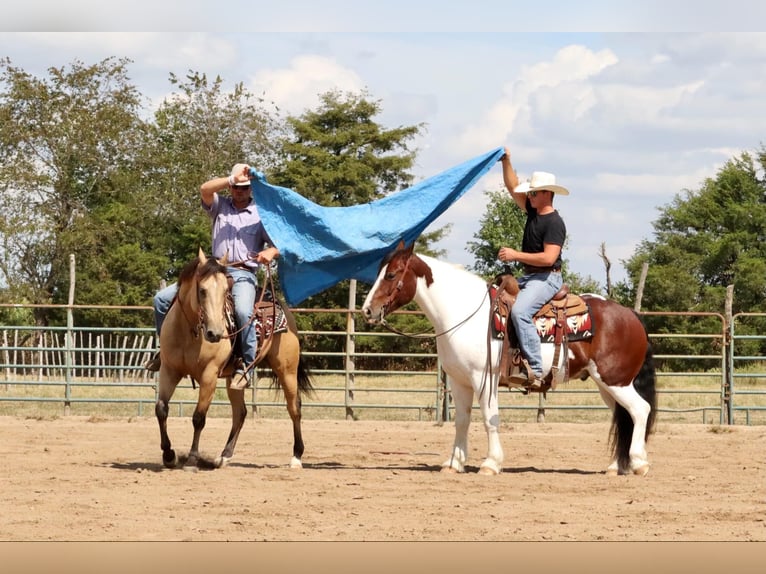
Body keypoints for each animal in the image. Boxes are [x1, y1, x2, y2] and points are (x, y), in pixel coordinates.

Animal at [154, 251, 314, 472]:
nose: (215, 333)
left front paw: (192, 460)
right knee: (240, 412)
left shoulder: (209, 375)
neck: (190, 332)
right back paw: (224, 456)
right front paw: (169, 455)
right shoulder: (169, 370)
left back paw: (296, 456)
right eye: (202, 290)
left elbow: (198, 418)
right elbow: (161, 409)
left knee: (294, 408)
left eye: (224, 292)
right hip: (233, 379)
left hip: (287, 369)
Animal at [364, 242, 656, 476]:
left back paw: (640, 464)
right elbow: (462, 420)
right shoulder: (459, 381)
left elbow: (489, 418)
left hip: (615, 380)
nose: (368, 310)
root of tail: (630, 315)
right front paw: (454, 463)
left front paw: (491, 464)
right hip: (606, 384)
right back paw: (615, 467)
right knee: (624, 415)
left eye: (391, 274)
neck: (463, 312)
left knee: (640, 410)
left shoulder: (484, 378)